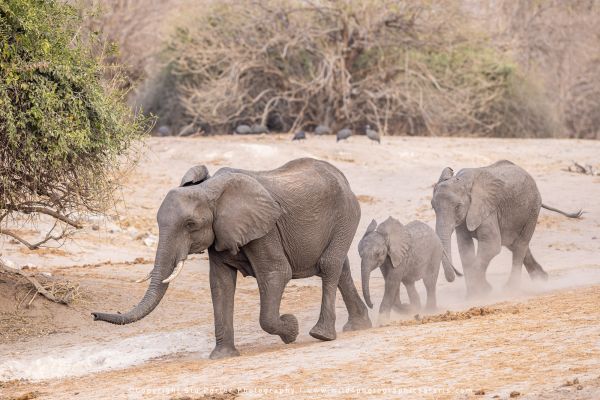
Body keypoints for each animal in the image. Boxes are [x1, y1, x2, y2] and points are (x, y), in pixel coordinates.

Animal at [92, 157, 370, 360]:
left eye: (191, 225)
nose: (93, 315)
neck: (209, 191)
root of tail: (342, 177)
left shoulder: (265, 229)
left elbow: (277, 273)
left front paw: (291, 329)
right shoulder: (220, 235)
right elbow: (220, 284)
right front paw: (222, 357)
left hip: (346, 213)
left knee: (329, 265)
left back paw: (322, 334)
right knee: (340, 267)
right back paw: (359, 326)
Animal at [432, 160, 580, 296]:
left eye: (458, 207)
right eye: (433, 207)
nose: (457, 274)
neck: (463, 180)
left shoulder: (487, 209)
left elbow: (491, 245)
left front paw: (484, 291)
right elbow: (465, 248)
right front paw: (475, 295)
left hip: (532, 209)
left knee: (520, 245)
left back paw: (511, 289)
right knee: (514, 244)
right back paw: (541, 280)